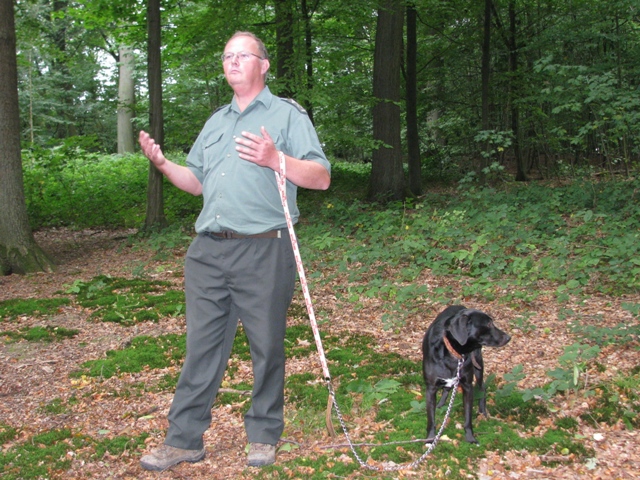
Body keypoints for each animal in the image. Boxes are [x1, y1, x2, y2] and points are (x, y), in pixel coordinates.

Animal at [422, 306, 512, 444]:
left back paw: (482, 412)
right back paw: (441, 404)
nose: (508, 337)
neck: (454, 354)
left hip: (478, 364)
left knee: (482, 387)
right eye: (488, 324)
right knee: (447, 388)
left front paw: (470, 437)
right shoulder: (431, 388)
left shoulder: (468, 387)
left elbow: (468, 418)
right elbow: (431, 419)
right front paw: (431, 438)